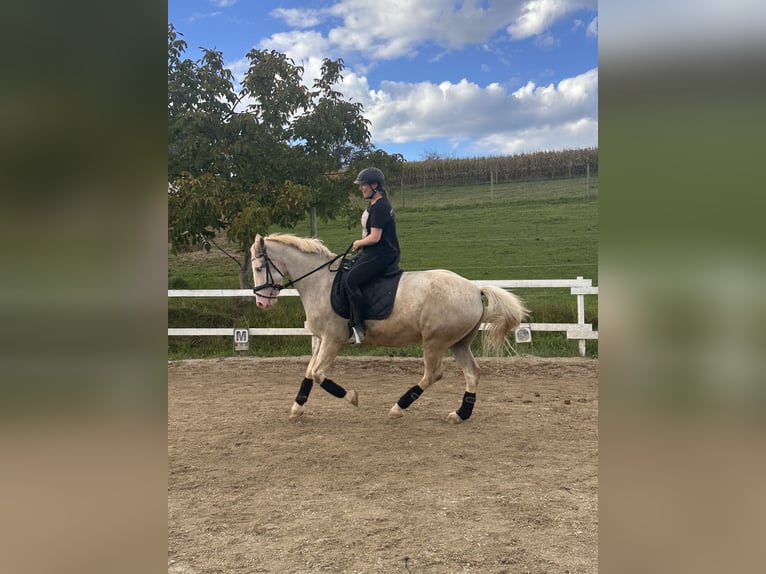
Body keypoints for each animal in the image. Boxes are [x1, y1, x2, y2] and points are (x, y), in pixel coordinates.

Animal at [250, 233, 529, 423]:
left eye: (259, 267)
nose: (262, 303)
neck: (320, 282)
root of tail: (474, 289)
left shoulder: (332, 339)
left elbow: (319, 374)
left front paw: (352, 397)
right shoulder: (320, 339)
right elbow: (309, 372)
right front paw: (297, 408)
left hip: (434, 341)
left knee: (433, 374)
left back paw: (398, 407)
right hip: (458, 343)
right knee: (472, 373)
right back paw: (460, 414)